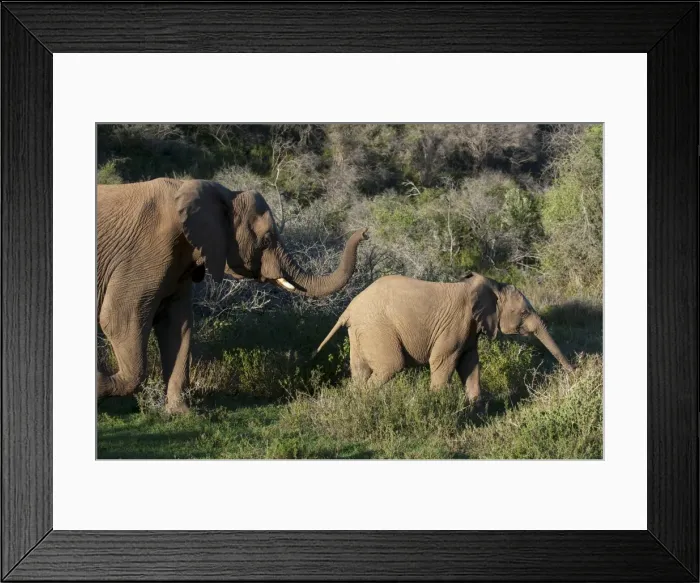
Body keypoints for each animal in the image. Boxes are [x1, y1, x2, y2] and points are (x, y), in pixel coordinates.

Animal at [97, 177, 368, 413]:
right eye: (266, 240)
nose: (364, 232)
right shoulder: (144, 254)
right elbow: (118, 320)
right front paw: (98, 382)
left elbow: (178, 325)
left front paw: (182, 414)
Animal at [314, 272, 573, 402]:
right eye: (524, 313)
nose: (574, 373)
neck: (492, 286)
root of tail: (348, 309)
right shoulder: (456, 324)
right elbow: (442, 361)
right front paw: (438, 406)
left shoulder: (469, 329)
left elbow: (470, 364)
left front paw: (475, 408)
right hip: (377, 328)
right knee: (391, 366)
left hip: (361, 333)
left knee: (359, 373)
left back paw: (356, 404)